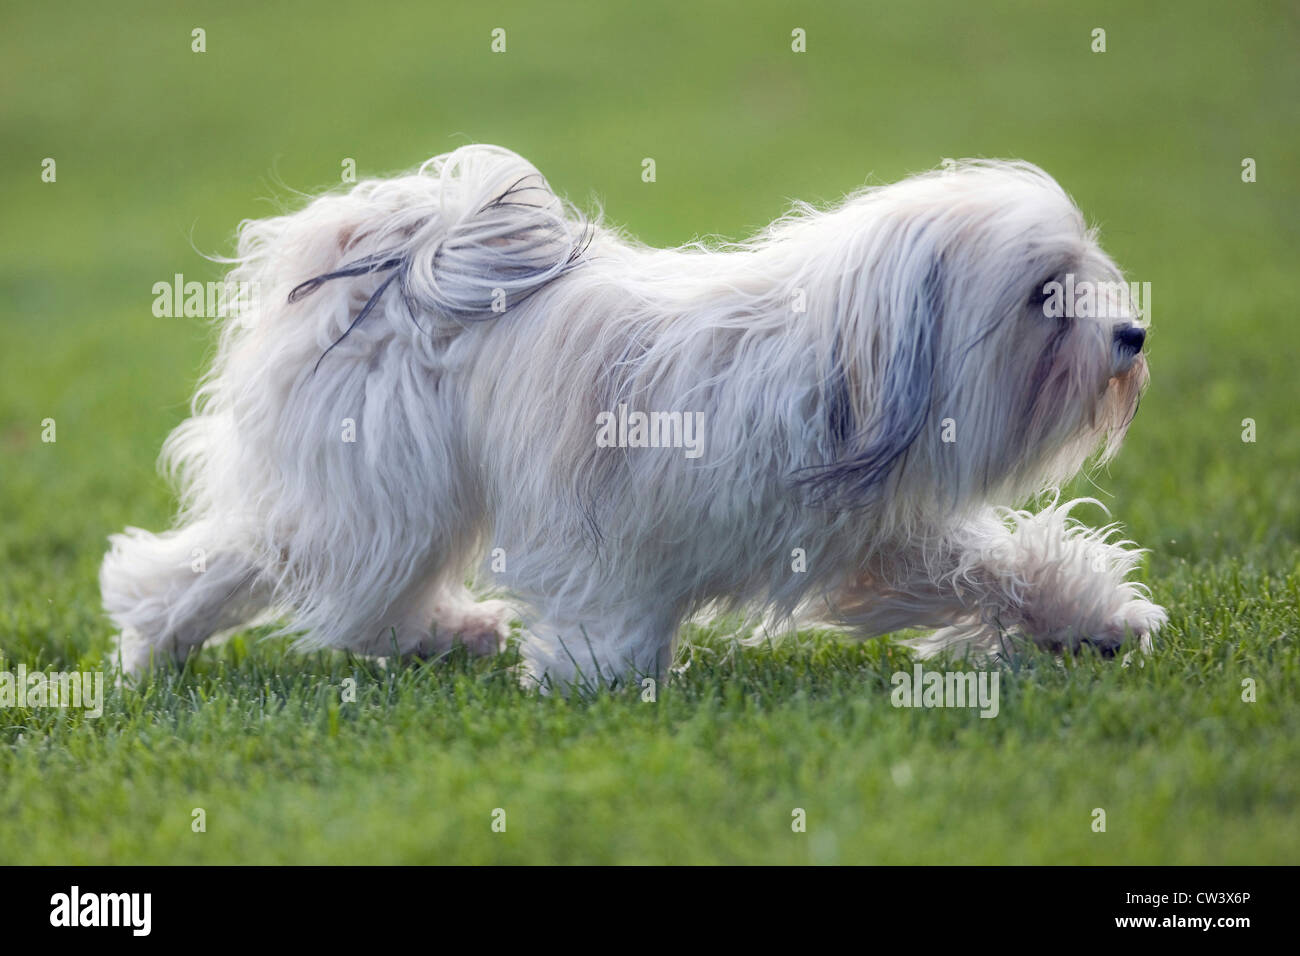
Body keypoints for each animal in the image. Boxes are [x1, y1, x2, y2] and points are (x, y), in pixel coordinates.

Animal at [98, 143, 1170, 686]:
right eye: (1045, 294)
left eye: (1087, 275)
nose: (1132, 335)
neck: (838, 367)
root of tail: (403, 247)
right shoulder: (622, 518)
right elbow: (617, 610)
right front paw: (595, 671)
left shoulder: (870, 529)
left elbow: (993, 565)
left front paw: (1093, 621)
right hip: (376, 501)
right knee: (304, 575)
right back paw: (161, 642)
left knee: (277, 570)